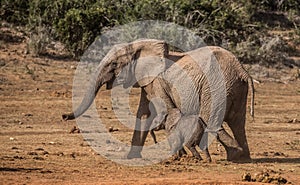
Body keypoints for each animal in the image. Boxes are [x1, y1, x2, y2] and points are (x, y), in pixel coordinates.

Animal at [62, 38, 254, 160]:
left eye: (114, 64)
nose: (63, 116)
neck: (140, 46)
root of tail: (241, 70)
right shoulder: (147, 81)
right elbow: (143, 113)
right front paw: (130, 157)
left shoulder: (158, 83)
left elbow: (166, 110)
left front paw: (179, 156)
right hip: (235, 87)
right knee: (238, 123)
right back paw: (242, 157)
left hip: (216, 86)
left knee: (212, 119)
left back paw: (235, 155)